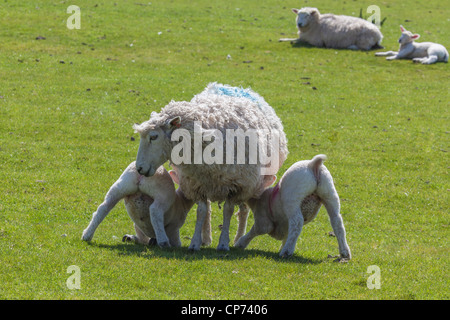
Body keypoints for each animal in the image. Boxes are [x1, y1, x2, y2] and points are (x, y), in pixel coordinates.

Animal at [81, 162, 213, 248]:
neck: (182, 201)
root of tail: (141, 173)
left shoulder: (138, 226)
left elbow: (142, 238)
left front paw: (131, 238)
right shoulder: (174, 227)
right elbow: (176, 242)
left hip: (121, 184)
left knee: (103, 207)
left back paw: (87, 235)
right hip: (163, 195)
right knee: (155, 211)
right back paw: (163, 242)